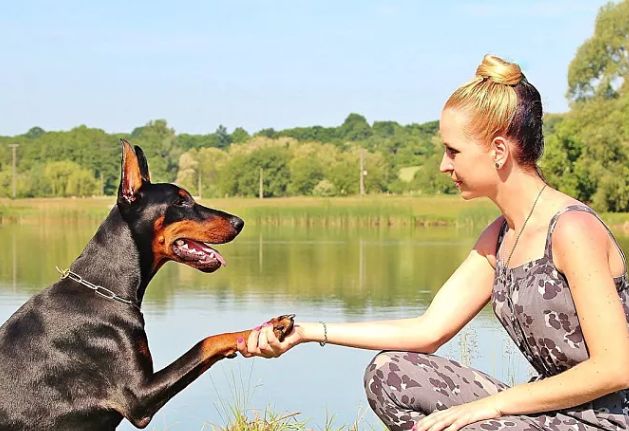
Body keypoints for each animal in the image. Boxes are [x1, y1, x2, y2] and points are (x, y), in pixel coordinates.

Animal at [0, 140, 294, 430]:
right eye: (181, 201)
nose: (239, 222)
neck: (105, 290)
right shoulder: (138, 396)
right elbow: (208, 341)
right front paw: (270, 327)